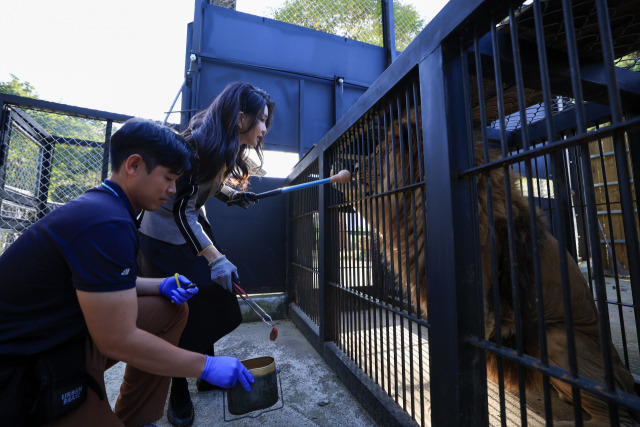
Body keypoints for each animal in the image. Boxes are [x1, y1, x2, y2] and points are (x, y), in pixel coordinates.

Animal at [336, 108, 640, 426]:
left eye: (377, 153)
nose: (353, 166)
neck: (417, 201)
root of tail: (628, 382)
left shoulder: (484, 310)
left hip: (557, 338)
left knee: (618, 418)